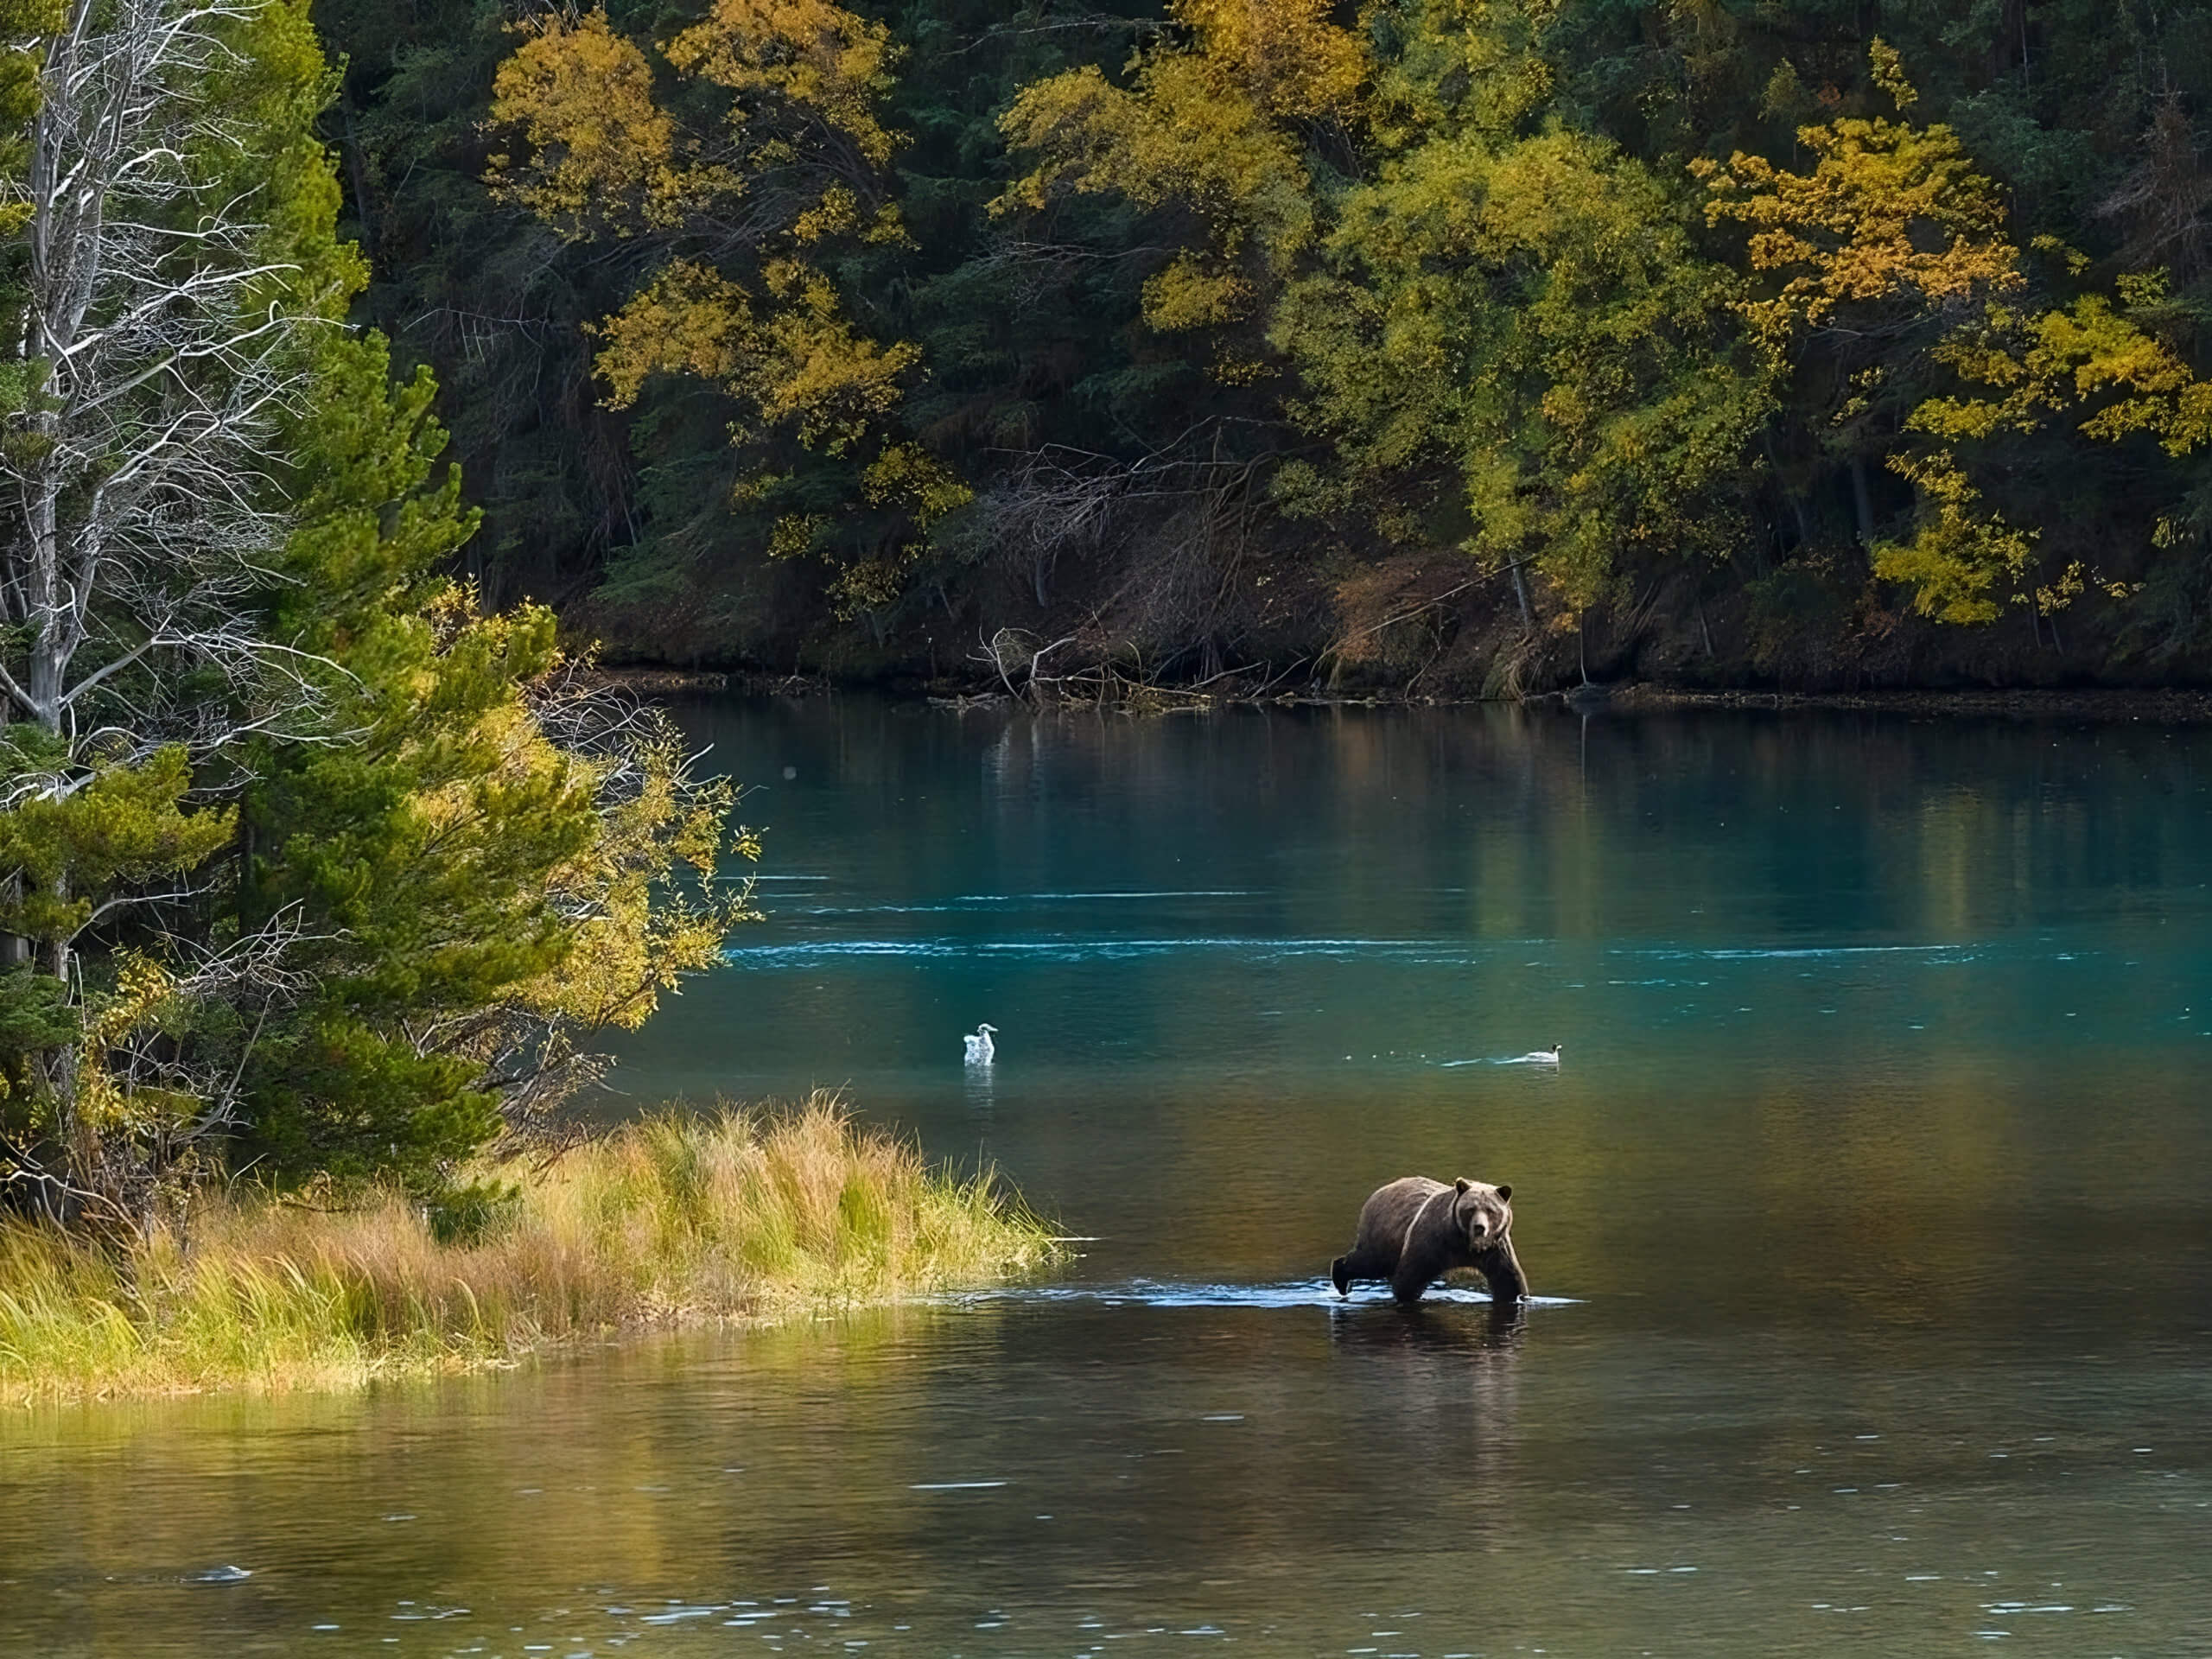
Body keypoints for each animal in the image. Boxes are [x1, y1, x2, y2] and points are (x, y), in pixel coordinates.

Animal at [1318, 1176, 1530, 1309]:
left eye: (1491, 1210)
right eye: (1470, 1209)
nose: (1480, 1227)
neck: (1465, 1245)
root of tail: (1380, 1191)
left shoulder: (1495, 1249)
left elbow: (1508, 1281)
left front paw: (1519, 1297)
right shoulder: (1432, 1242)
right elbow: (1409, 1279)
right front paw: (1407, 1297)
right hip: (1383, 1235)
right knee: (1368, 1263)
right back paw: (1340, 1279)